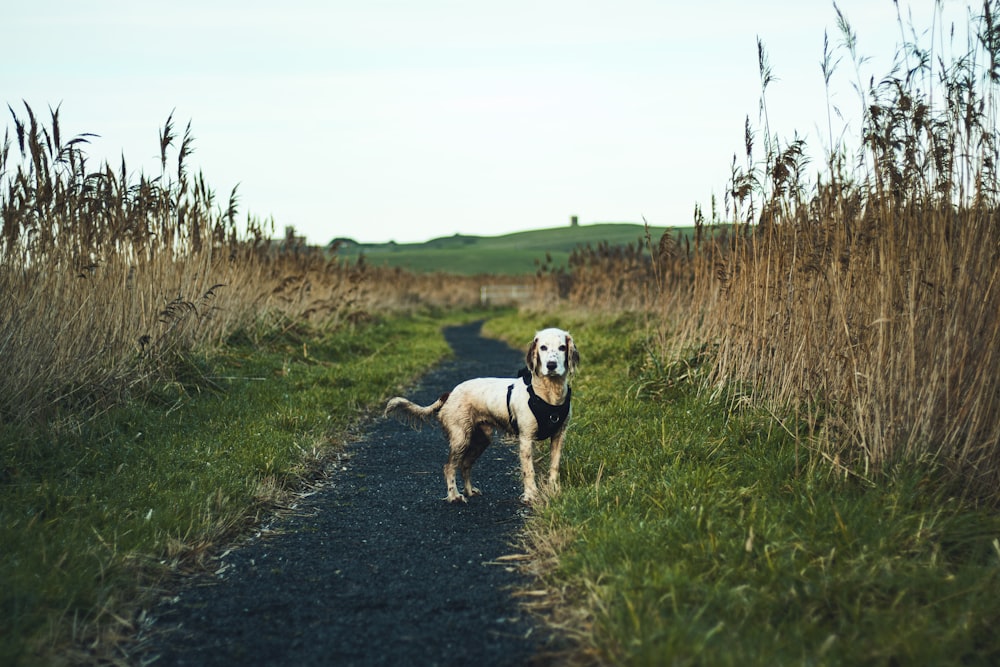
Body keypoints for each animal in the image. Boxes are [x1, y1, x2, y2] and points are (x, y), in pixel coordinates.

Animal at [386, 328, 584, 506]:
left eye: (562, 348)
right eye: (543, 347)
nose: (551, 365)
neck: (548, 394)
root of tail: (450, 393)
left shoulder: (559, 436)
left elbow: (554, 467)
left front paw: (554, 491)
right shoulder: (526, 438)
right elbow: (529, 471)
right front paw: (531, 496)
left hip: (482, 439)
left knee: (465, 464)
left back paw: (469, 490)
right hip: (461, 438)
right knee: (449, 467)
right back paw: (454, 496)